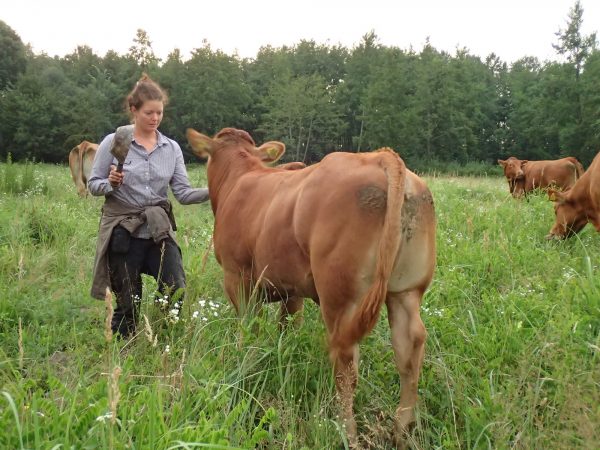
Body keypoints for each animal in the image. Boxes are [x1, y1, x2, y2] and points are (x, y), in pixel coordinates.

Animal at [186, 126, 436, 446]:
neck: (240, 177)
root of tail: (380, 157)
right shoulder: (291, 290)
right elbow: (287, 328)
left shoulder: (236, 277)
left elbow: (248, 329)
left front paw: (243, 361)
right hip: (406, 290)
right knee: (409, 352)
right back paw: (401, 431)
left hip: (340, 297)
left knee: (346, 364)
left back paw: (346, 432)